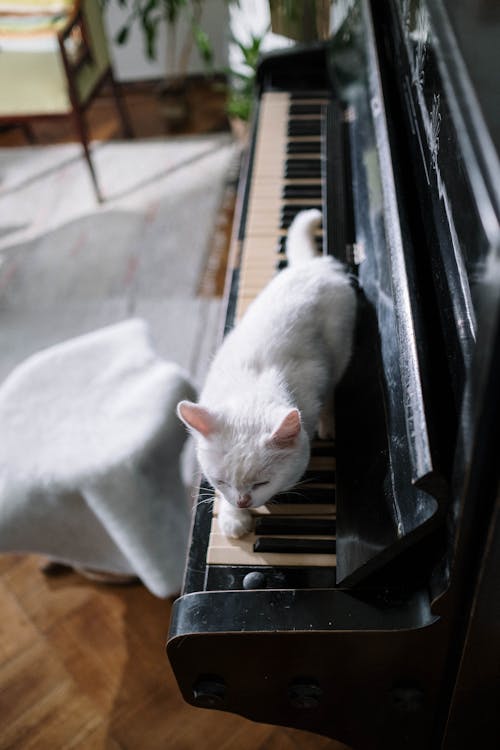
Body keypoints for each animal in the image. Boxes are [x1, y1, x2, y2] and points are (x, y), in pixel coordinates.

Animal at [176, 210, 356, 540]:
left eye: (262, 482)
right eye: (222, 482)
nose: (243, 500)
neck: (251, 391)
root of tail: (313, 265)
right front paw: (234, 517)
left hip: (341, 349)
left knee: (332, 389)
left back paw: (329, 423)